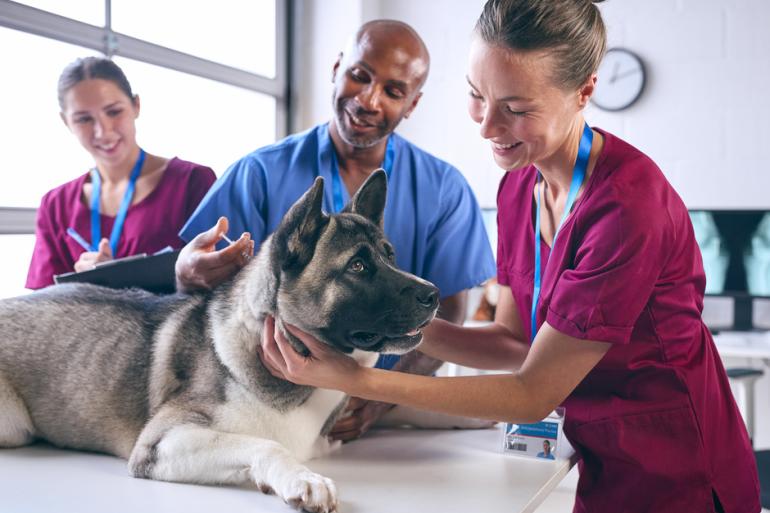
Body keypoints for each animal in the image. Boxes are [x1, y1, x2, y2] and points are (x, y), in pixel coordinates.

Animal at [0, 171, 438, 512]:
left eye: (390, 256)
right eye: (357, 266)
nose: (433, 294)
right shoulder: (162, 443)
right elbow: (264, 445)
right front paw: (302, 479)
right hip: (14, 425)